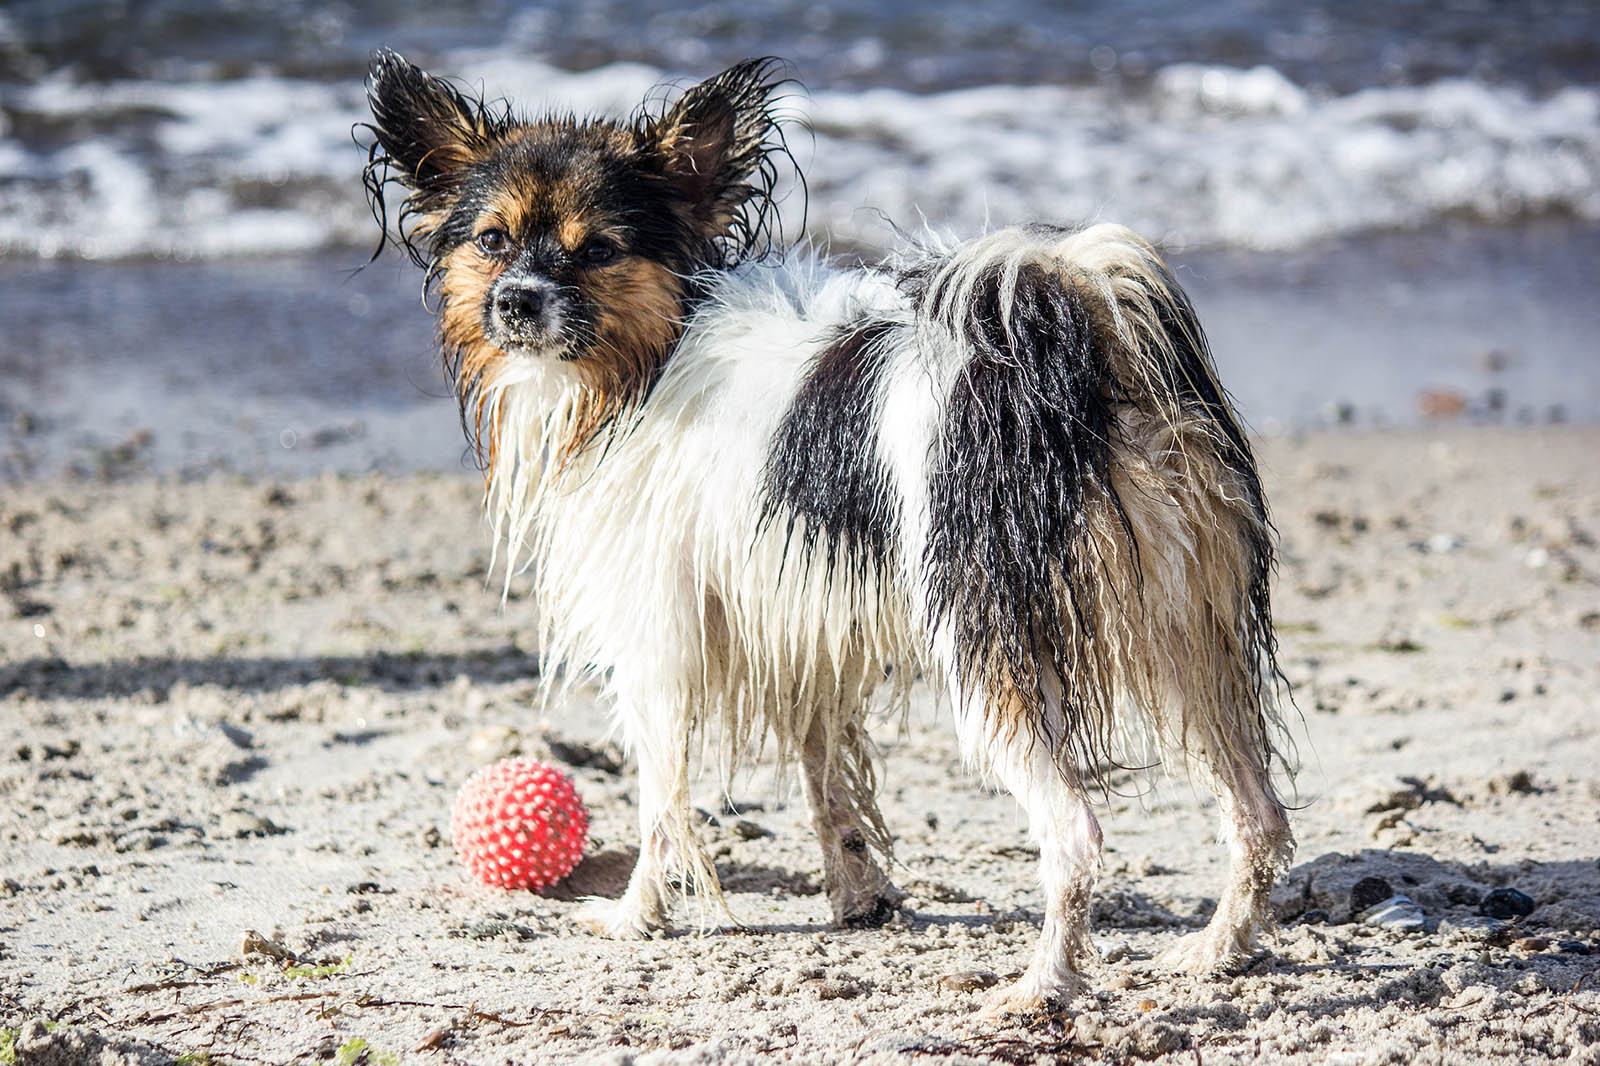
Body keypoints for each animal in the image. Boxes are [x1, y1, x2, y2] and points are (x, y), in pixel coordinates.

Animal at [360, 52, 1286, 1011]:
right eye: (492, 241)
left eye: (599, 250)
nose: (517, 302)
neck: (647, 360)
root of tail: (1071, 362)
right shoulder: (803, 617)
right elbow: (822, 773)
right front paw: (855, 893)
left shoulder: (661, 638)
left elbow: (662, 801)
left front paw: (635, 916)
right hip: (1183, 638)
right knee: (1258, 811)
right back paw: (1219, 950)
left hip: (991, 652)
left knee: (1075, 833)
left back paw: (1042, 985)